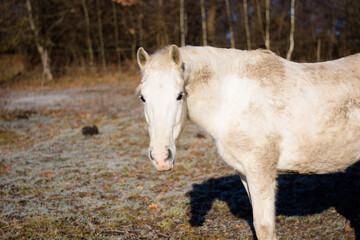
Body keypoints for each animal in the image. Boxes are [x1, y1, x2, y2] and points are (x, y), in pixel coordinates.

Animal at [136, 44, 360, 238]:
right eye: (143, 97)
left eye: (179, 95)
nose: (161, 157)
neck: (231, 98)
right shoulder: (245, 173)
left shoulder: (261, 171)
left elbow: (264, 227)